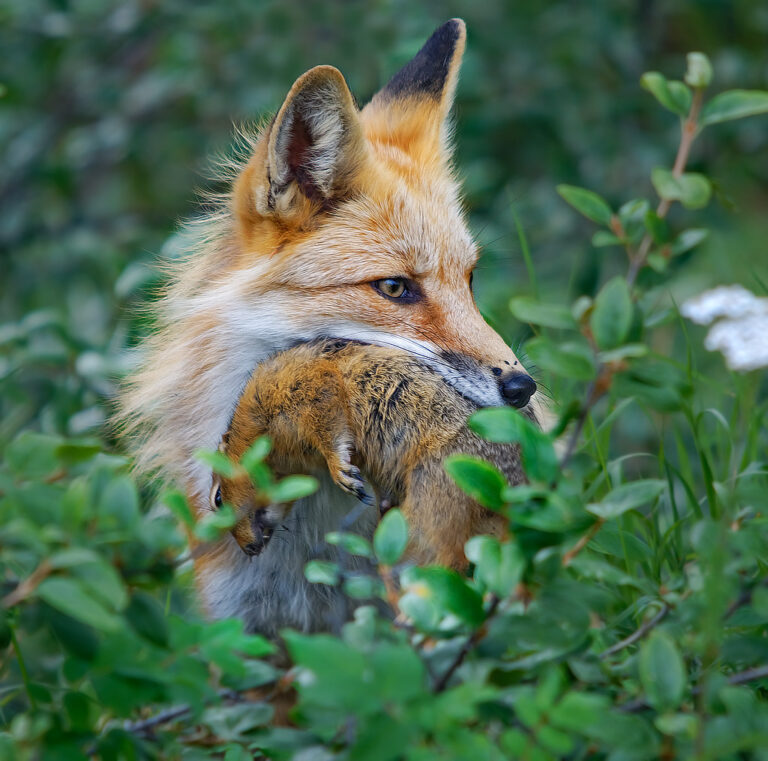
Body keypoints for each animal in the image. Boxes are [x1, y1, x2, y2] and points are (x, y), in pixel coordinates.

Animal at [213, 338, 532, 568]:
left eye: (217, 499)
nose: (249, 550)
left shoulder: (309, 389)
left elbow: (330, 430)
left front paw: (340, 470)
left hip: (440, 491)